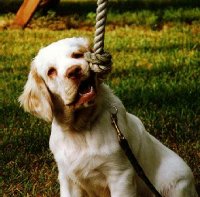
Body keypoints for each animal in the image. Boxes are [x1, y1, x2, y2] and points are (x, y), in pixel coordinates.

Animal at [19, 37, 198, 197]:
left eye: (77, 55)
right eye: (51, 71)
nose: (74, 71)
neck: (82, 127)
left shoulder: (120, 175)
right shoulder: (68, 178)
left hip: (177, 186)